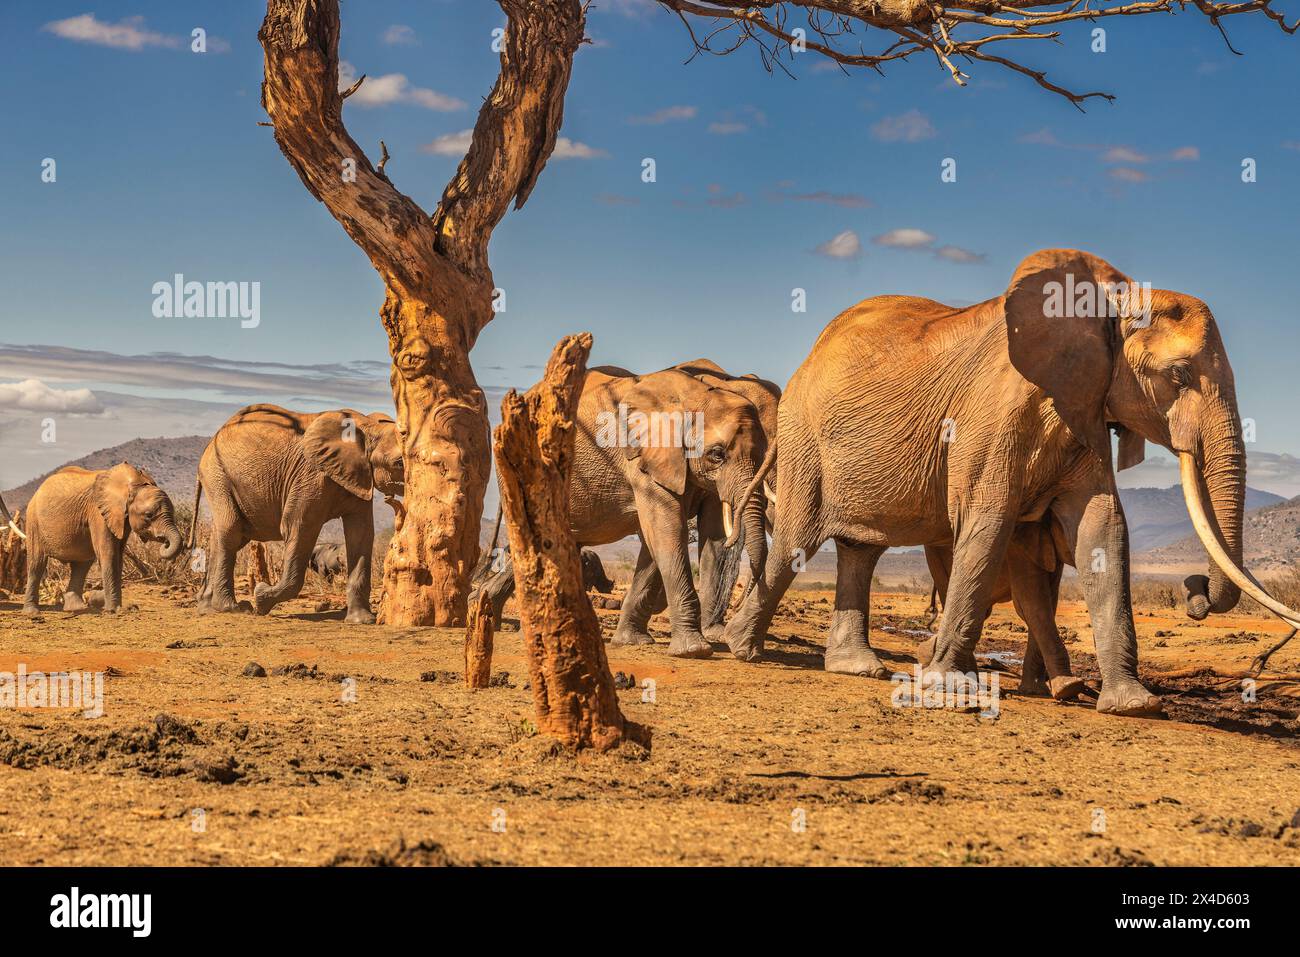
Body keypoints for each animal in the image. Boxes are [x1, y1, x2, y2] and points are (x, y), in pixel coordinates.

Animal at [22, 462, 183, 613]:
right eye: (149, 515)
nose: (164, 542)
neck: (131, 485)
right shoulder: (97, 511)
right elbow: (109, 553)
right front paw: (113, 610)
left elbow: (118, 556)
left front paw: (119, 608)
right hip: (33, 521)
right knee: (37, 563)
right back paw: (32, 612)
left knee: (81, 565)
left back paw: (78, 608)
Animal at [722, 250, 1300, 712]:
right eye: (1178, 375)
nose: (1193, 590)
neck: (1107, 301)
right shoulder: (991, 415)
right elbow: (988, 522)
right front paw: (949, 687)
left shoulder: (1083, 409)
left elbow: (1102, 528)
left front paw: (1133, 705)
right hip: (805, 437)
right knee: (797, 540)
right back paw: (740, 648)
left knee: (861, 551)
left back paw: (857, 668)